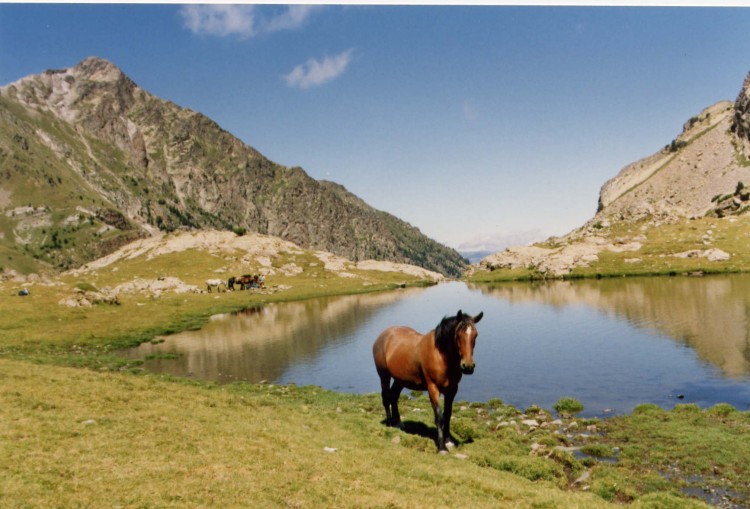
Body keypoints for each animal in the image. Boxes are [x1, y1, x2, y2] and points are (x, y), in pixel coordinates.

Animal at [376, 308, 488, 450]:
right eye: (458, 335)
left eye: (475, 335)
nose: (467, 366)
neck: (441, 356)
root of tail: (383, 335)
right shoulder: (433, 388)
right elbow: (439, 416)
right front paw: (442, 447)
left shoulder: (452, 390)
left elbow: (448, 414)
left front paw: (448, 440)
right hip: (384, 375)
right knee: (386, 397)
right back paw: (390, 424)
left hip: (400, 380)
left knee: (394, 396)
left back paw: (398, 424)